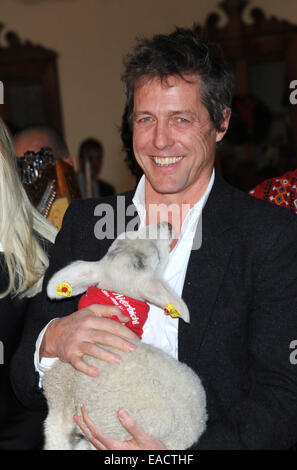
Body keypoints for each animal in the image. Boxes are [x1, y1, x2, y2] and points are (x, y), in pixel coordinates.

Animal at [42, 222, 207, 450]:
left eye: (156, 256)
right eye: (123, 238)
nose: (167, 225)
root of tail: (187, 432)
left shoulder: (59, 401)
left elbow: (55, 438)